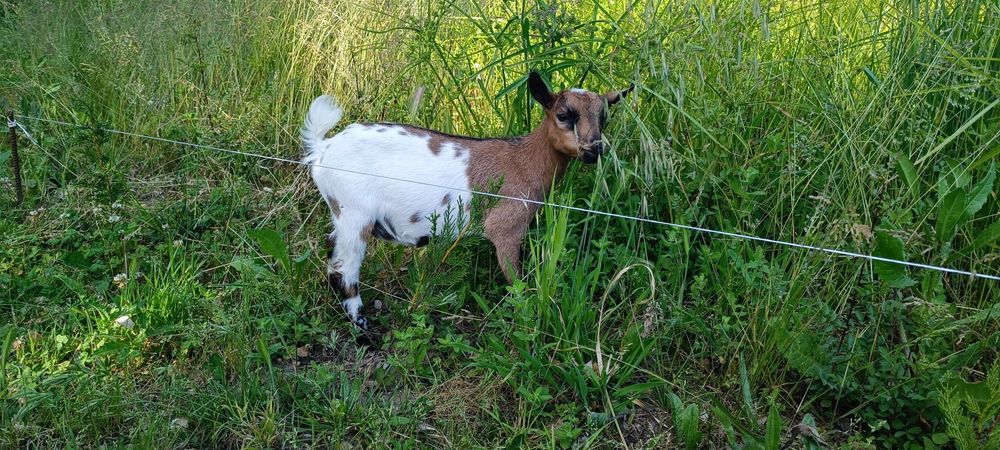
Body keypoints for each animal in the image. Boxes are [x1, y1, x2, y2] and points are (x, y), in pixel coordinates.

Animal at [302, 72, 633, 329]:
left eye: (604, 117)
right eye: (564, 115)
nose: (594, 149)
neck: (522, 161)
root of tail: (323, 148)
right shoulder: (507, 229)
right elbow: (517, 283)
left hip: (340, 213)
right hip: (354, 214)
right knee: (345, 268)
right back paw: (364, 327)